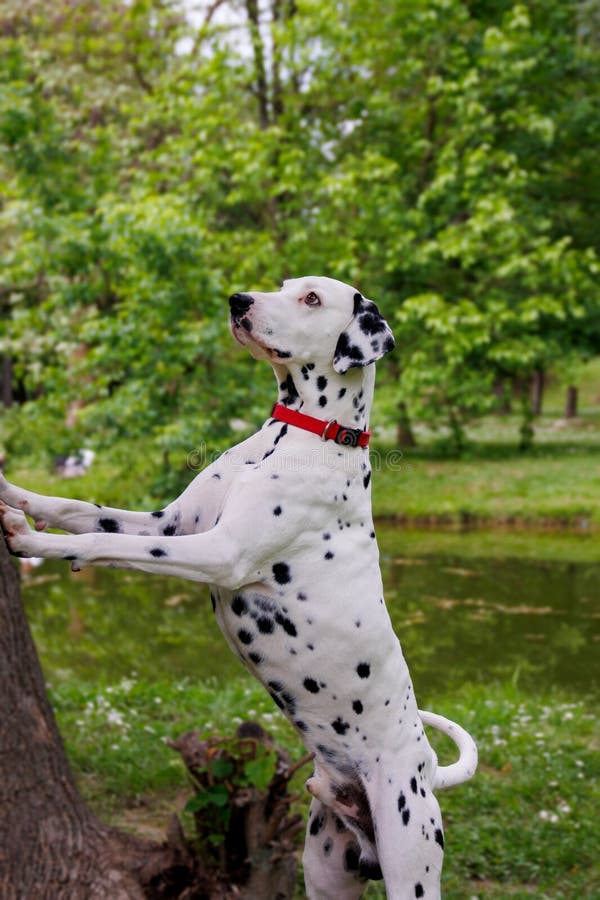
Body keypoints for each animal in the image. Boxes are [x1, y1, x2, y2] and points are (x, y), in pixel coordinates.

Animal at [1, 276, 478, 900]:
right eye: (281, 285)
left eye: (311, 298)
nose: (238, 301)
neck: (299, 436)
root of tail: (426, 767)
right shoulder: (167, 525)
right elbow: (78, 508)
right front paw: (11, 491)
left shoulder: (216, 552)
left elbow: (105, 544)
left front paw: (35, 539)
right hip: (324, 870)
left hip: (410, 862)